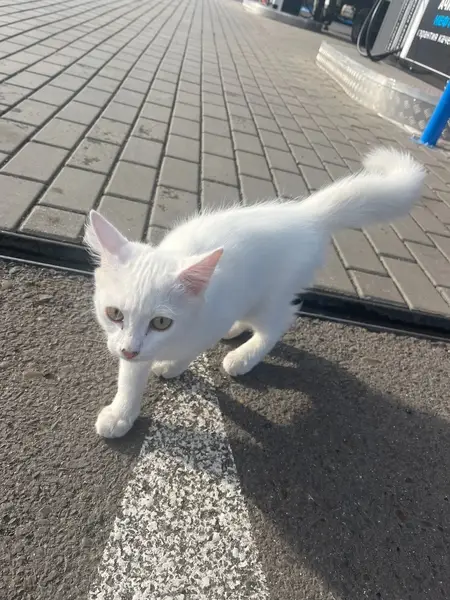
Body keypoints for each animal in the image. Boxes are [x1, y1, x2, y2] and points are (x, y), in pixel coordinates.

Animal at [85, 147, 425, 438]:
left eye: (161, 322)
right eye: (114, 314)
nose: (129, 349)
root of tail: (306, 214)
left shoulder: (211, 320)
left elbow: (189, 350)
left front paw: (171, 366)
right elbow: (130, 377)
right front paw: (121, 414)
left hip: (270, 296)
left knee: (279, 321)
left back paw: (243, 357)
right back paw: (237, 330)